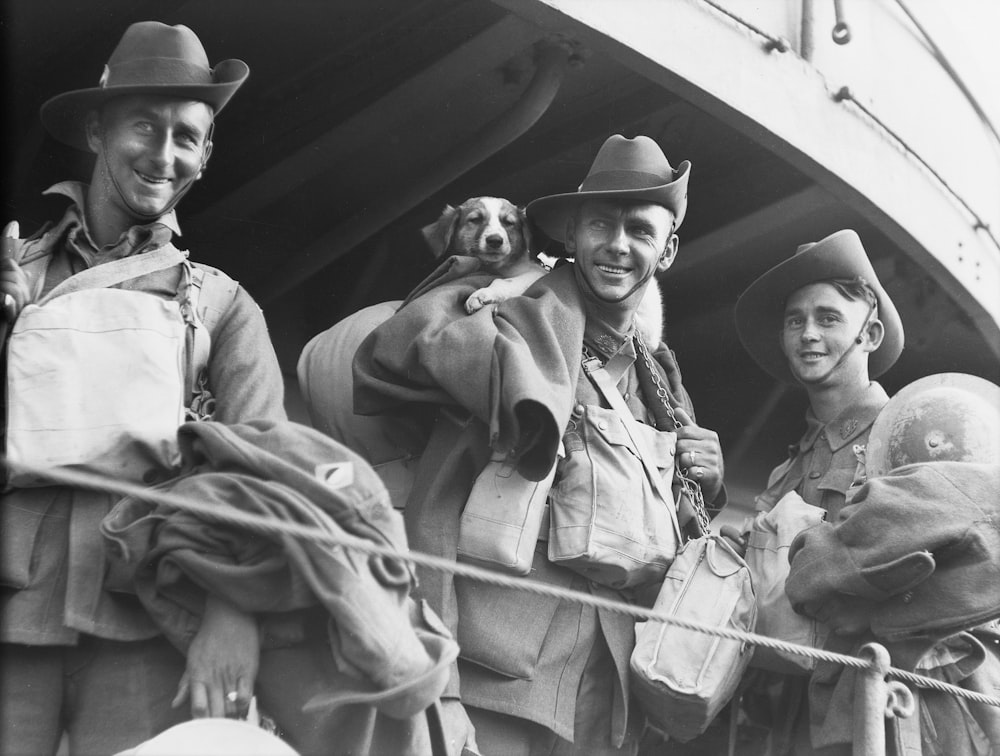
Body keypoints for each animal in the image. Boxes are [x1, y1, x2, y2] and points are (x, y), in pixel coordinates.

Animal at [422, 196, 664, 346]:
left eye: (508, 223)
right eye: (475, 220)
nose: (495, 241)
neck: (497, 266)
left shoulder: (535, 273)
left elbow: (503, 282)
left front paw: (482, 295)